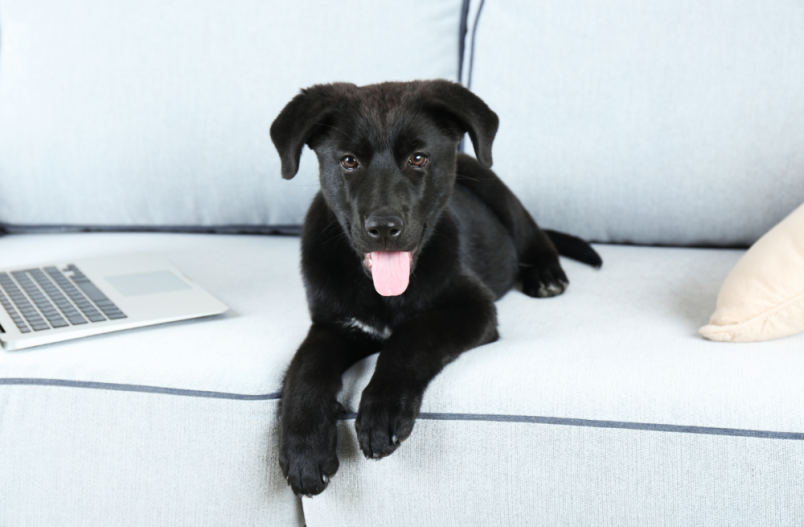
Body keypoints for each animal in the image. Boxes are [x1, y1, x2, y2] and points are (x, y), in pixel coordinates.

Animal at [270, 80, 596, 498]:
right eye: (349, 161)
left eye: (418, 158)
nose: (384, 227)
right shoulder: (332, 324)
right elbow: (305, 369)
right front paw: (304, 450)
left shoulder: (474, 308)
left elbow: (411, 336)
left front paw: (382, 412)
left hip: (497, 189)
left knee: (535, 237)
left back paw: (546, 276)